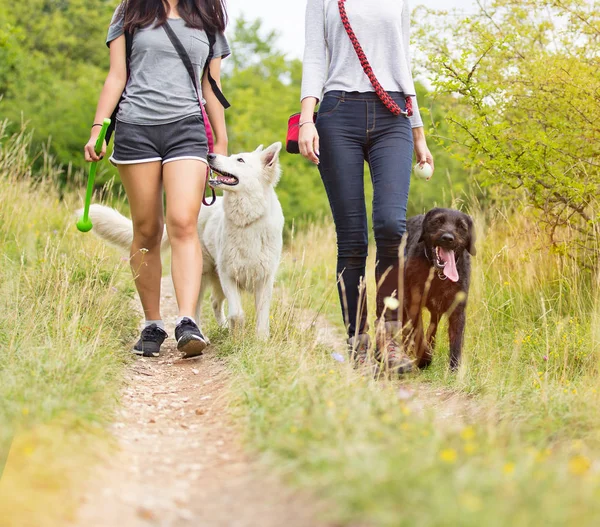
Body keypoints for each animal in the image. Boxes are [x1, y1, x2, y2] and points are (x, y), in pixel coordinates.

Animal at [84, 142, 286, 338]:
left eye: (240, 160)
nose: (209, 155)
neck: (247, 220)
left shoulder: (264, 279)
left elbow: (262, 316)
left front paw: (260, 340)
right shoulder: (228, 275)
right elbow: (237, 314)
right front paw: (237, 338)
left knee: (214, 302)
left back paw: (220, 329)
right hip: (202, 273)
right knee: (198, 305)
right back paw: (199, 334)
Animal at [406, 208, 476, 370]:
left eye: (461, 226)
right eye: (438, 221)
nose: (448, 238)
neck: (439, 275)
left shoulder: (458, 310)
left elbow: (456, 341)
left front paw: (455, 369)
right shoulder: (414, 305)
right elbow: (418, 334)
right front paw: (424, 359)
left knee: (433, 328)